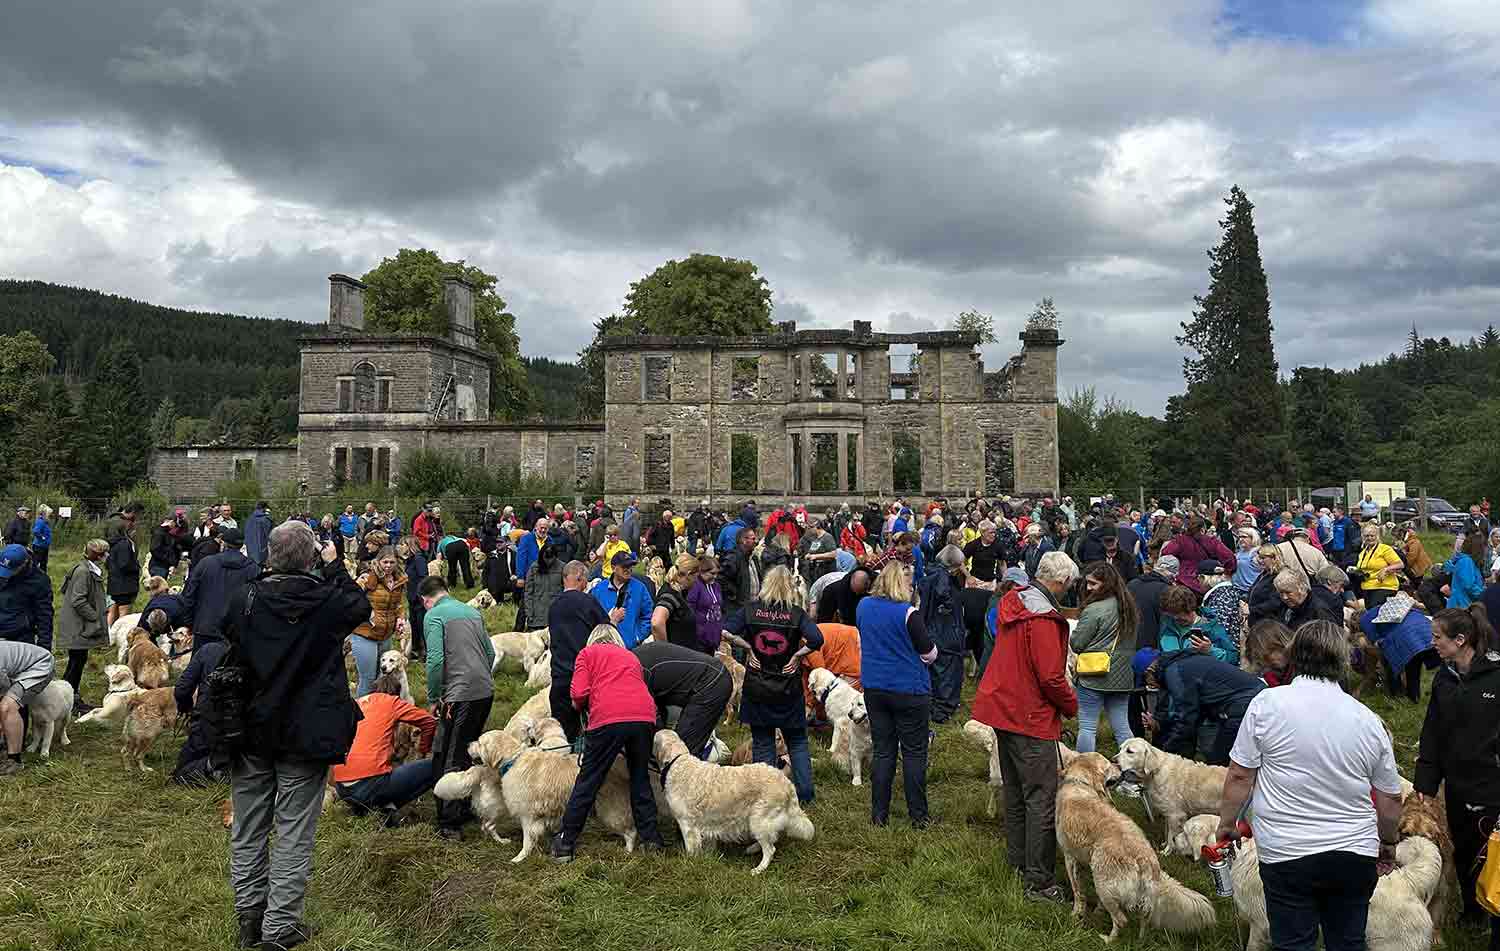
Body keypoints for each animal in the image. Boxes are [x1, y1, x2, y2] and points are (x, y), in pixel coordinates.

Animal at [651, 726, 816, 876]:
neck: (677, 761)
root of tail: (786, 782)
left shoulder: (687, 825)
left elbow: (691, 849)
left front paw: (691, 864)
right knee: (772, 839)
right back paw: (752, 848)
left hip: (758, 820)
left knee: (770, 849)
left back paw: (758, 869)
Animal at [1050, 747, 1212, 942]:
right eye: (1109, 765)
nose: (1119, 766)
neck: (1080, 784)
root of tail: (1146, 860)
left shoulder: (1069, 858)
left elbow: (1077, 893)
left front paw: (1076, 914)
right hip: (1138, 897)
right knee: (1144, 918)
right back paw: (1140, 940)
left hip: (1102, 885)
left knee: (1121, 920)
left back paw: (1107, 939)